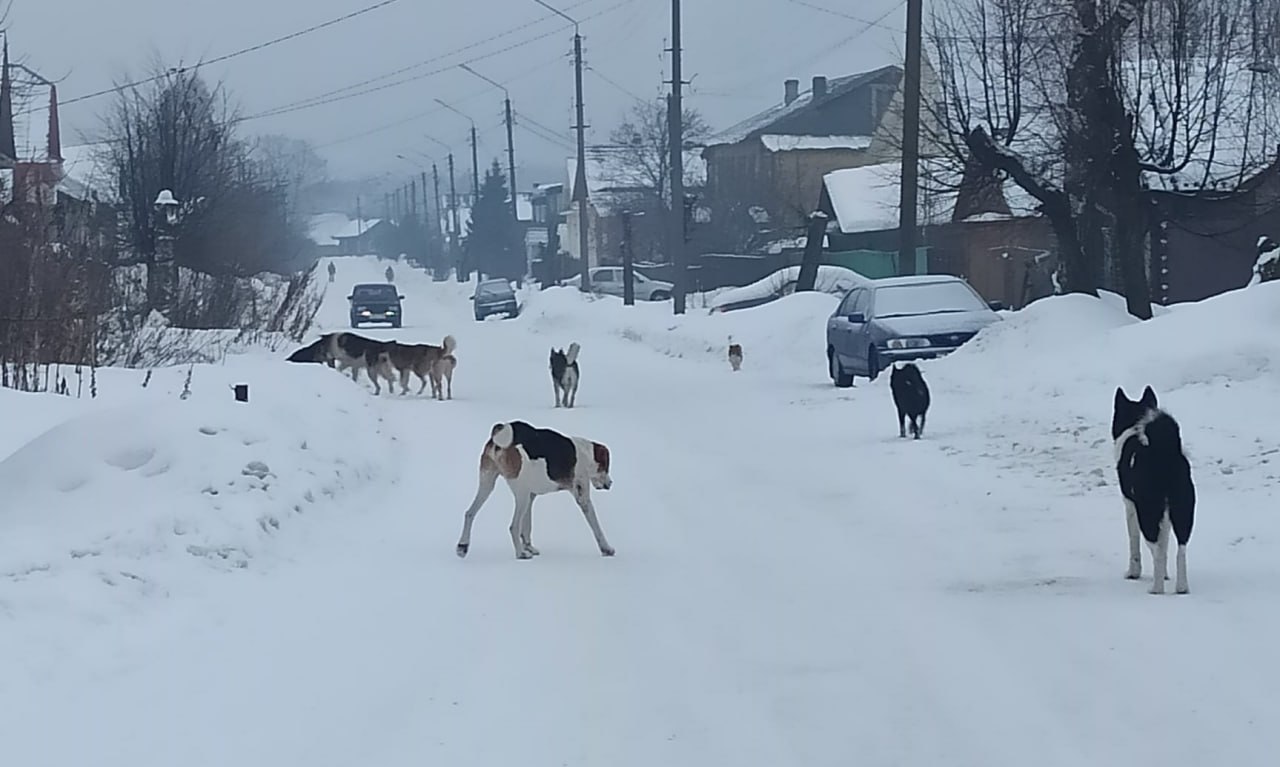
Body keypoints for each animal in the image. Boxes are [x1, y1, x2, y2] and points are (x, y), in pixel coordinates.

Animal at [455, 422, 614, 560]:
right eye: (606, 466)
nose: (610, 484)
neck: (586, 454)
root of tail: (499, 434)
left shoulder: (531, 497)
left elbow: (527, 527)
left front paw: (529, 547)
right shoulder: (583, 497)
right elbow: (597, 528)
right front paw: (607, 549)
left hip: (488, 484)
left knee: (469, 513)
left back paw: (462, 546)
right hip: (521, 496)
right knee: (513, 526)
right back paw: (520, 554)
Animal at [1116, 386, 1192, 596]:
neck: (1133, 427)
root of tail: (1164, 453)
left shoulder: (1130, 506)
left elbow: (1136, 544)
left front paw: (1133, 573)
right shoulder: (1165, 516)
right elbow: (1165, 545)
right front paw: (1165, 575)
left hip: (1147, 511)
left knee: (1156, 550)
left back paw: (1156, 589)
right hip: (1182, 511)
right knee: (1181, 549)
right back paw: (1181, 587)